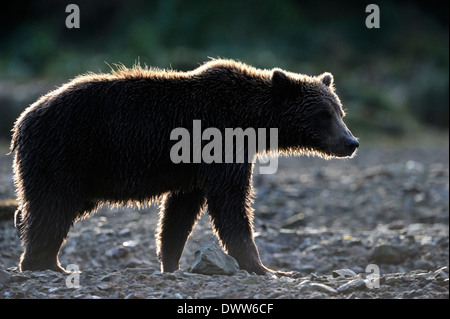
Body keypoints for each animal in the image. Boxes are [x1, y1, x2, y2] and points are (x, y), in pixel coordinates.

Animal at [9, 59, 358, 276]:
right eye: (323, 114)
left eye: (339, 111)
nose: (351, 142)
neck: (252, 121)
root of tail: (21, 120)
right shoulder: (220, 141)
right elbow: (230, 204)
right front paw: (264, 267)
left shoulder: (194, 169)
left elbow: (179, 214)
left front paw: (170, 262)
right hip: (65, 152)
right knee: (52, 207)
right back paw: (43, 263)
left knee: (48, 208)